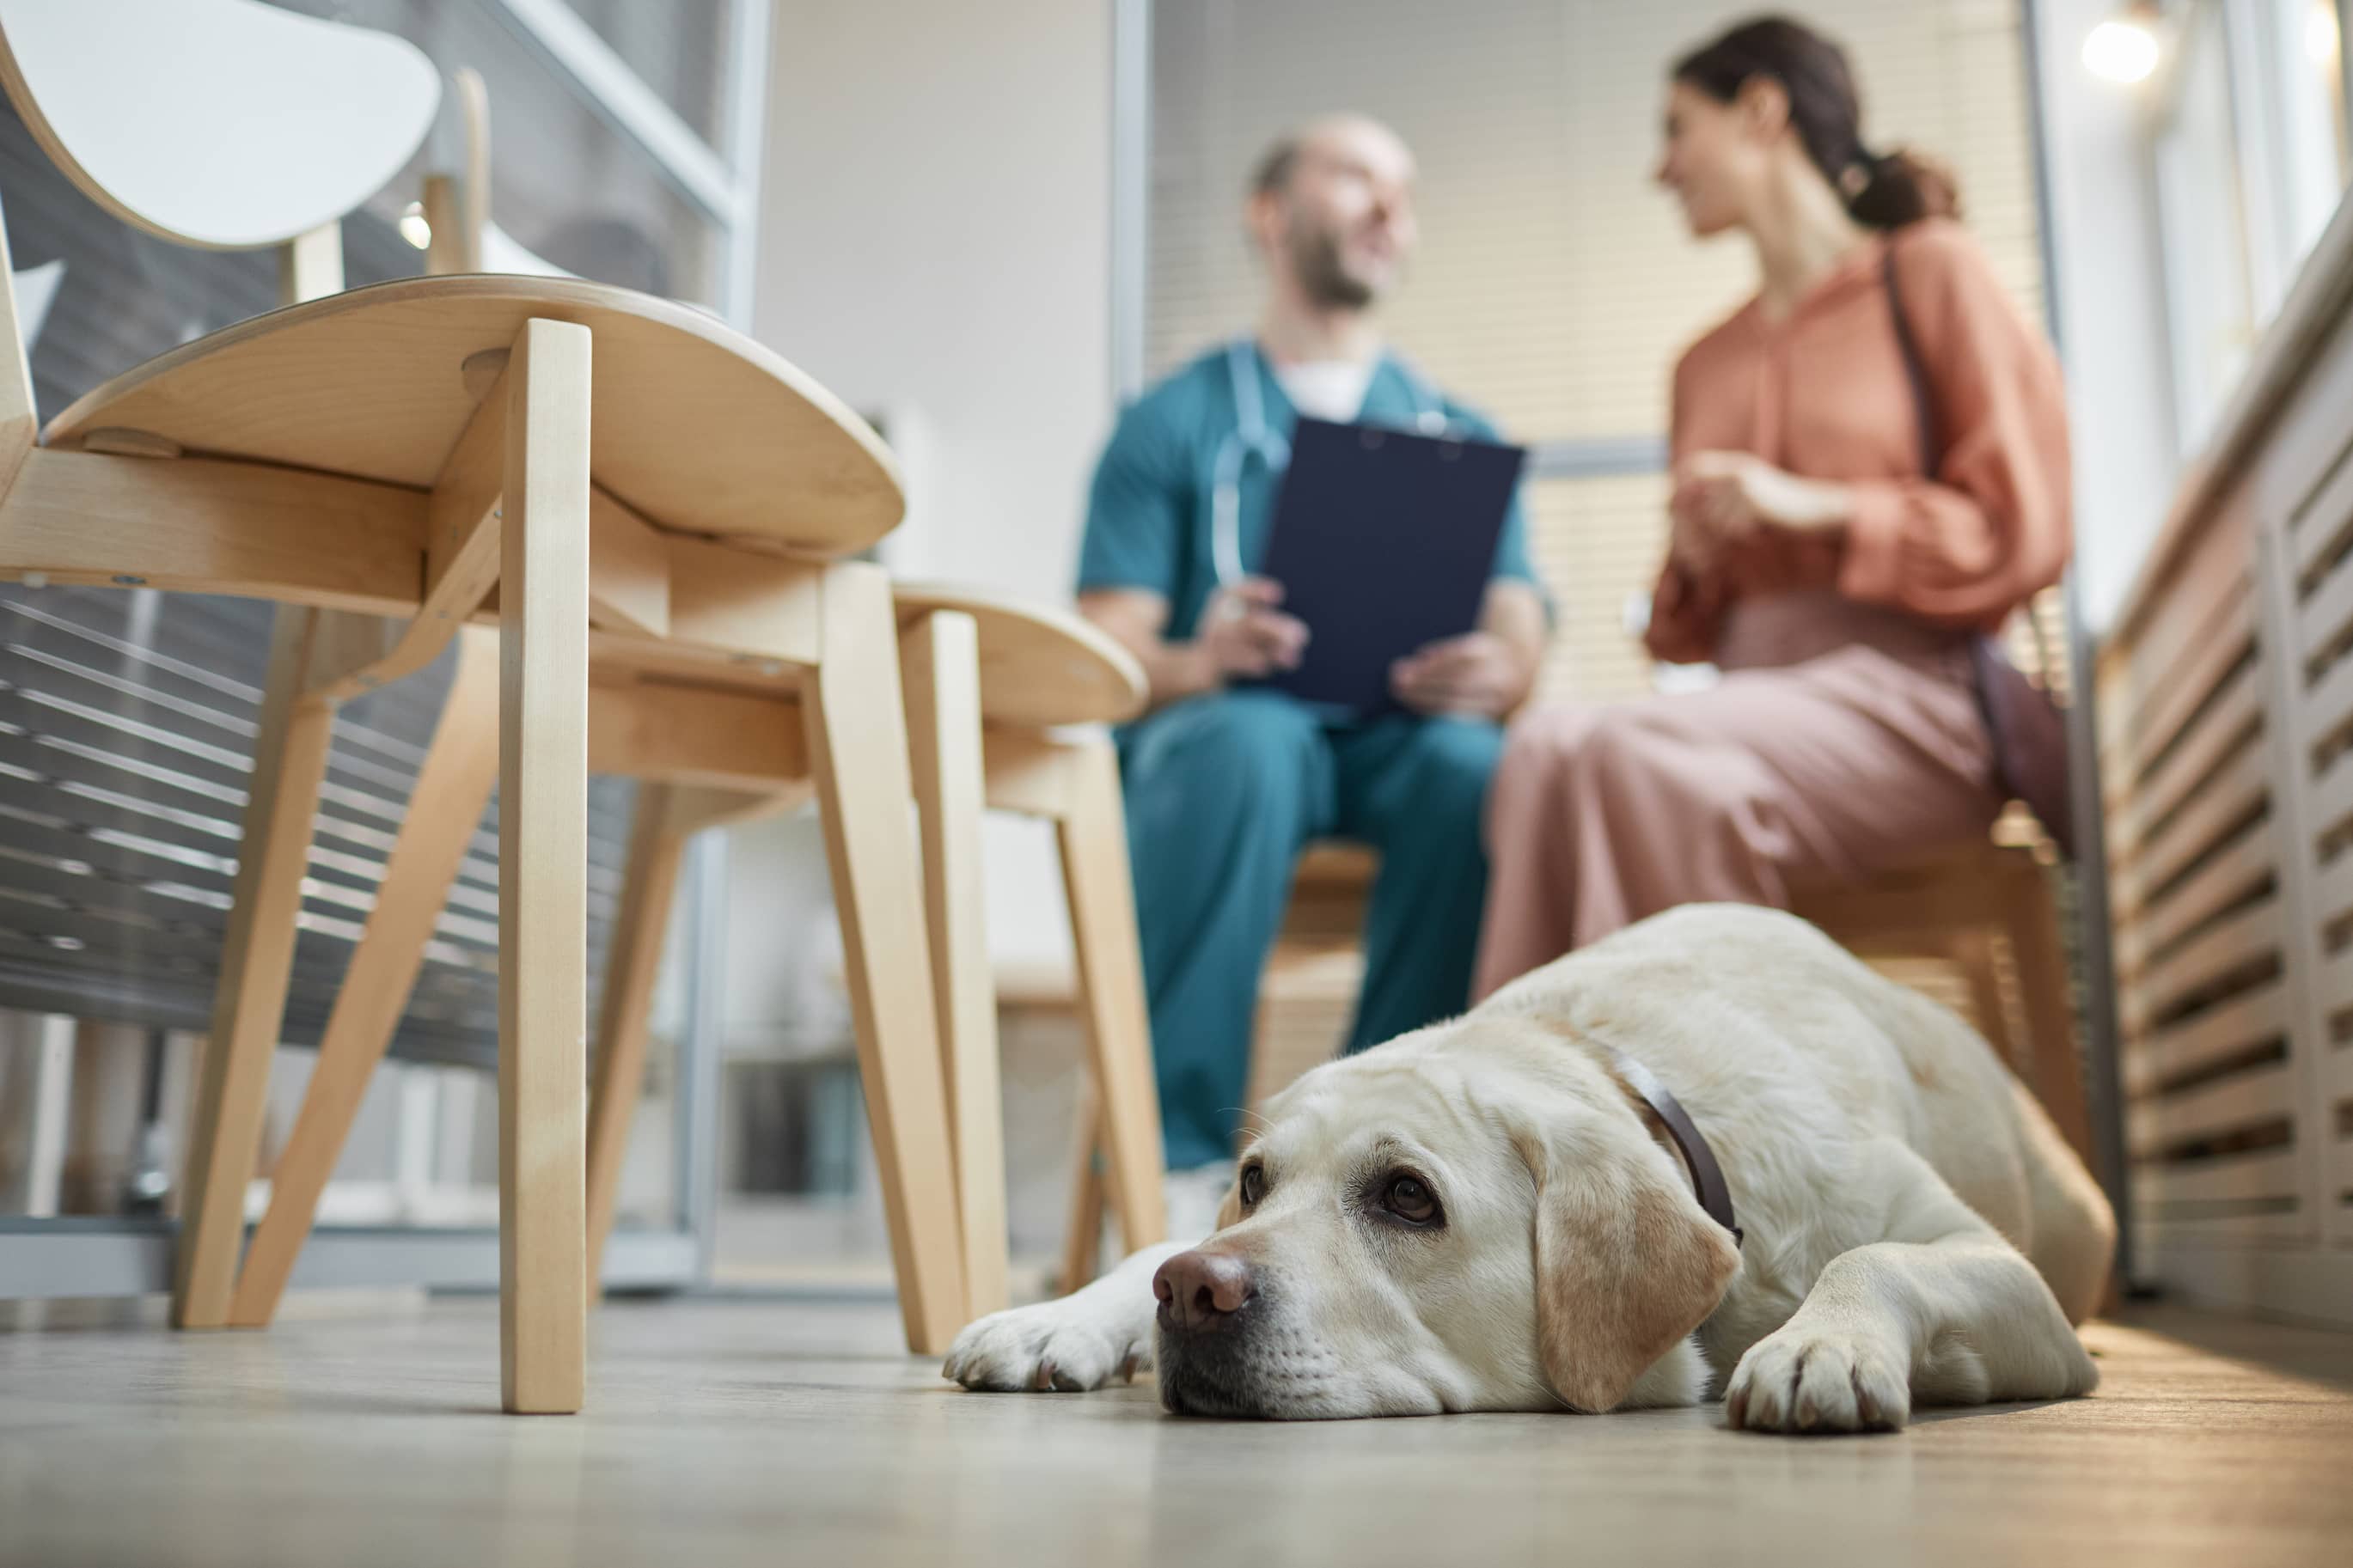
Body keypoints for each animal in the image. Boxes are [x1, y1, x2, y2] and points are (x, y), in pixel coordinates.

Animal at [936, 907, 2118, 1438]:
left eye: (1407, 1197)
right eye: (1254, 1180)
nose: (1192, 1293)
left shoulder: (2004, 1281)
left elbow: (1879, 1255)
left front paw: (1820, 1341)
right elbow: (1151, 1234)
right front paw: (1058, 1315)